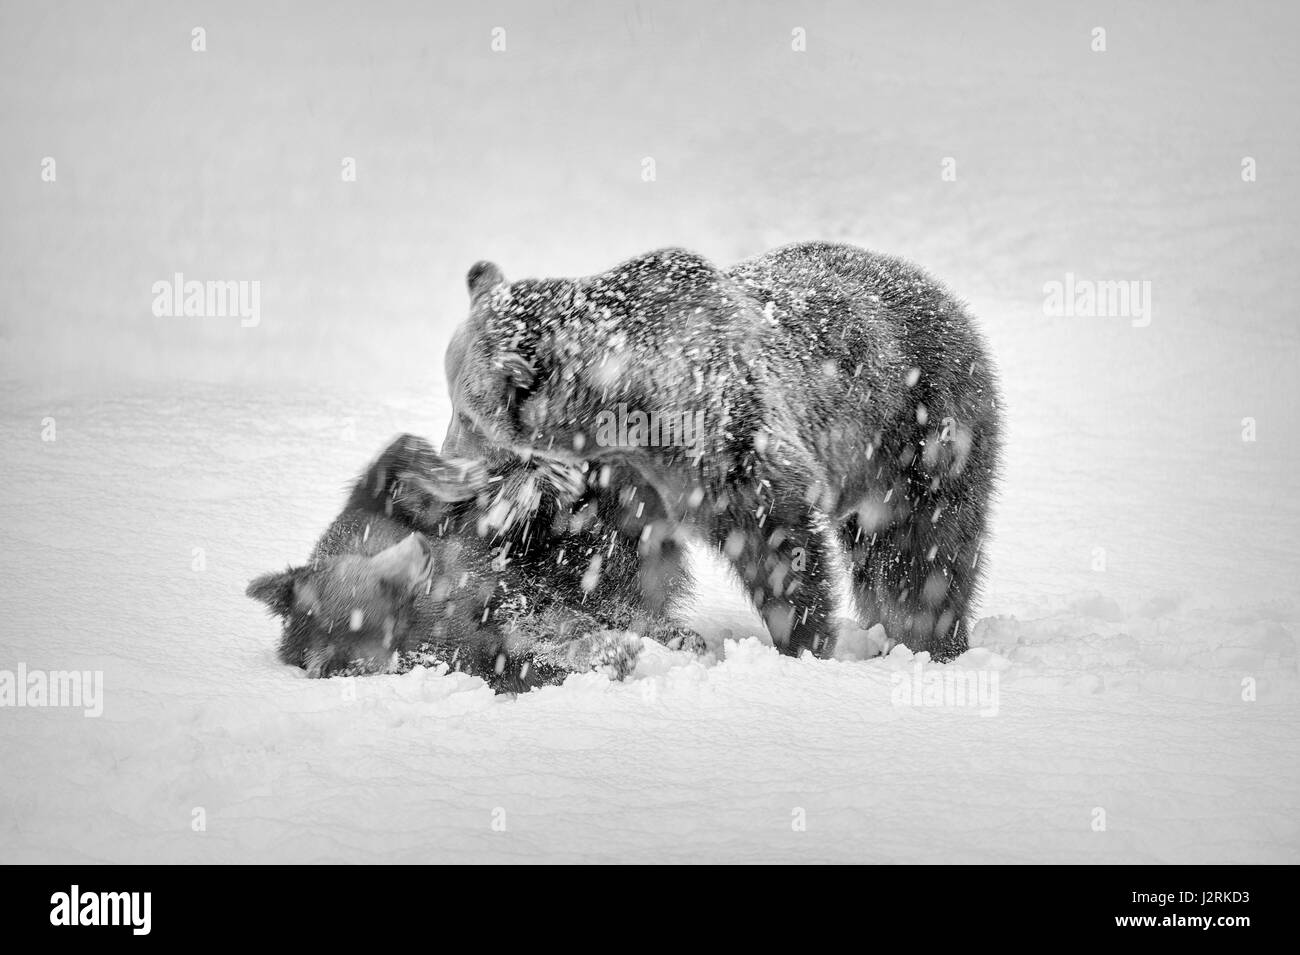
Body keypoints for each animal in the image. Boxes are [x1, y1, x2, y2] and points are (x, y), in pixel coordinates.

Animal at [441, 239, 998, 660]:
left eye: (467, 414)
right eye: (455, 402)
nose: (451, 458)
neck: (623, 409)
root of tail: (935, 288)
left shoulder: (724, 438)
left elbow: (778, 540)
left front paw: (799, 641)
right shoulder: (622, 478)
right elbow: (608, 555)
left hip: (919, 434)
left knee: (921, 553)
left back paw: (928, 640)